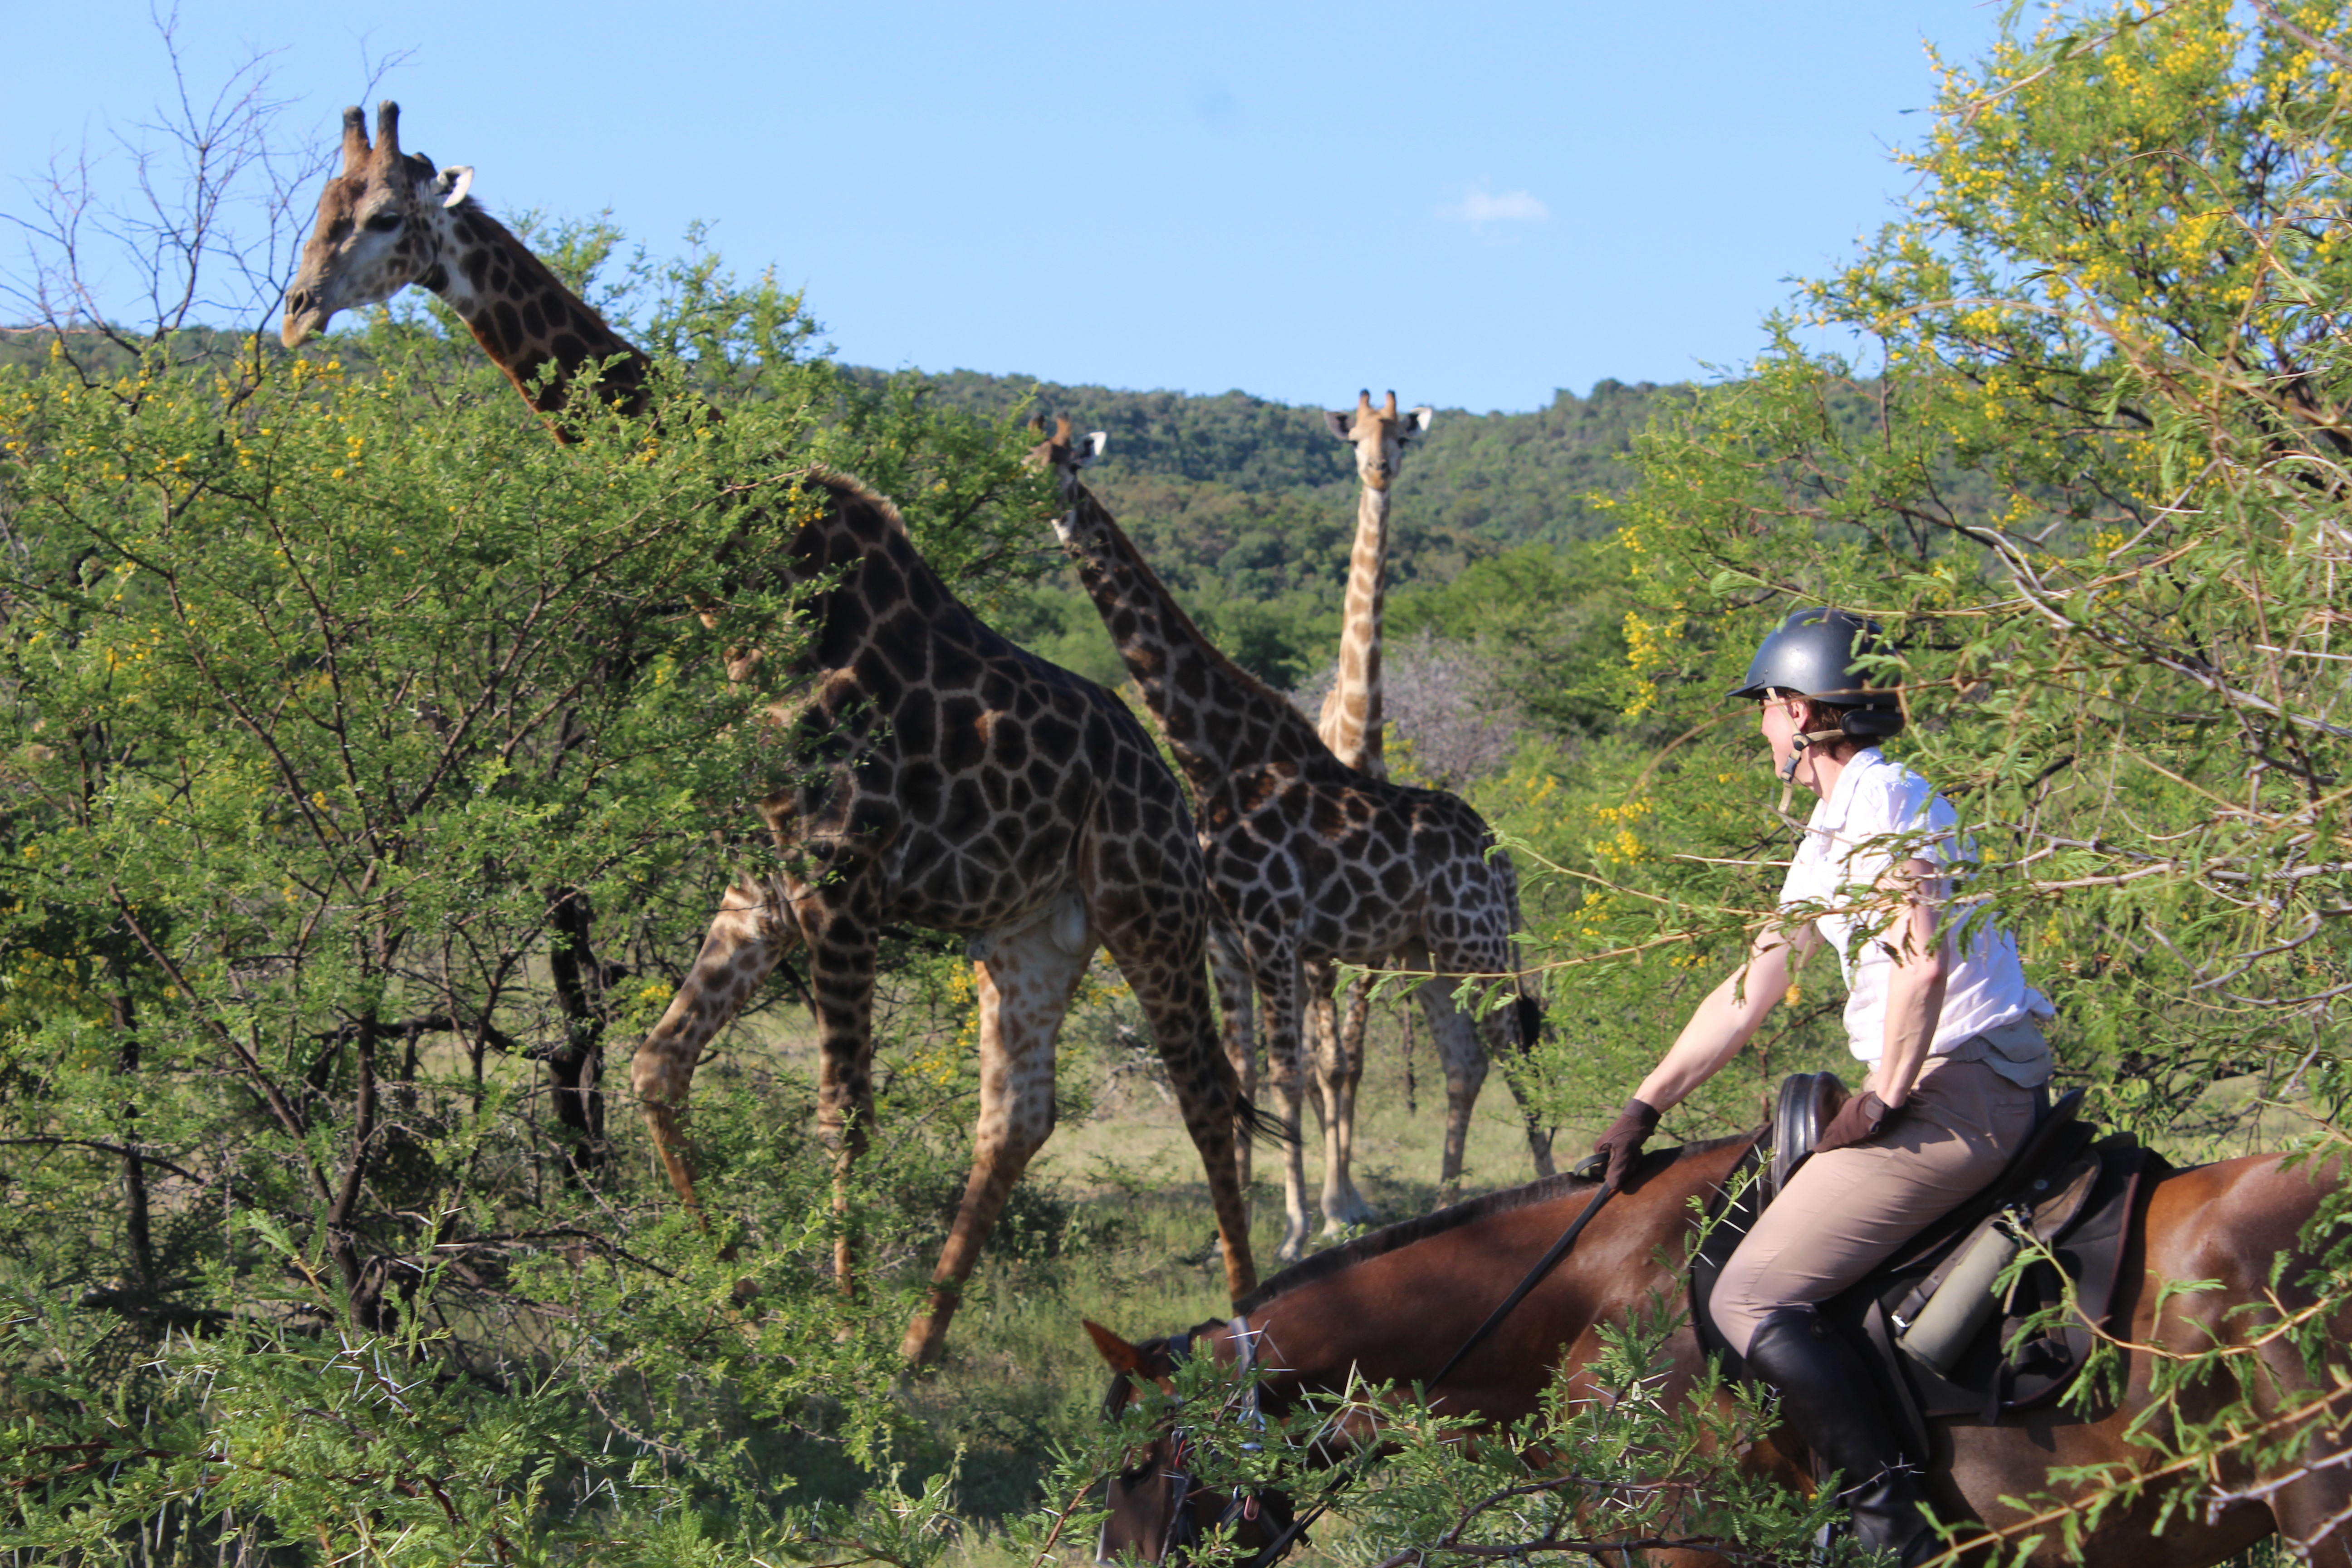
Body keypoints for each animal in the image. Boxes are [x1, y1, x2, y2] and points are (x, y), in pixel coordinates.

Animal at [281, 104, 1262, 1364]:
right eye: (318, 208)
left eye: (384, 217)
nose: (298, 306)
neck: (743, 579)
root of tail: (1168, 785)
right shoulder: (766, 876)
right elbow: (655, 1066)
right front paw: (750, 1307)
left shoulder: (841, 866)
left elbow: (844, 1111)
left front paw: (839, 1340)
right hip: (1032, 930)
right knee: (1018, 1115)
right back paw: (923, 1345)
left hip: (1149, 904)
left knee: (1203, 1091)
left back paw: (1247, 1322)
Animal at [1032, 418, 1550, 1262]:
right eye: (1022, 461)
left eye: (1065, 467)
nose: (1034, 504)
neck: (1211, 754)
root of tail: (1499, 855)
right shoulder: (1224, 934)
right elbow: (1245, 1068)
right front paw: (1233, 1229)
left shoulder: (1273, 928)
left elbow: (1287, 1071)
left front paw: (1298, 1229)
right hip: (1427, 952)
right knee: (1465, 1057)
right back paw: (1448, 1202)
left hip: (1475, 943)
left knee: (1511, 1039)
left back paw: (1545, 1177)